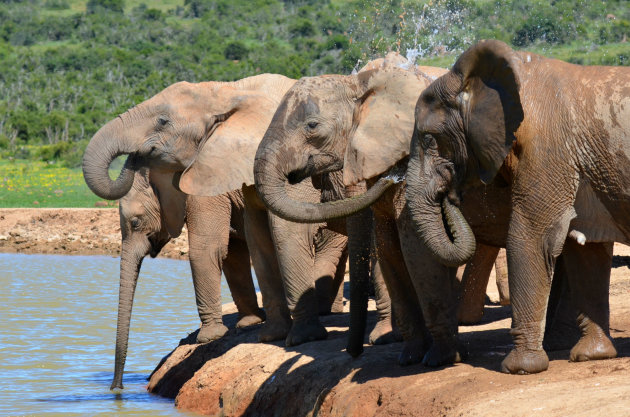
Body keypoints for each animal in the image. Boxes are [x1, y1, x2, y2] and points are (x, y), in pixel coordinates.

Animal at [81, 75, 392, 352]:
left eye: (162, 121)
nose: (135, 156)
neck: (227, 91)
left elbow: (224, 244)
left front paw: (213, 338)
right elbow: (252, 241)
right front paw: (266, 333)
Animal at [112, 167, 266, 390]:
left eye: (135, 222)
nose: (117, 388)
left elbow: (206, 250)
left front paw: (210, 337)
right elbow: (232, 249)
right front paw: (249, 322)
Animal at [408, 39, 624, 374]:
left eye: (430, 139)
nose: (450, 193)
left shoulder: (545, 150)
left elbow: (530, 238)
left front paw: (519, 368)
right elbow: (587, 248)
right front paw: (591, 356)